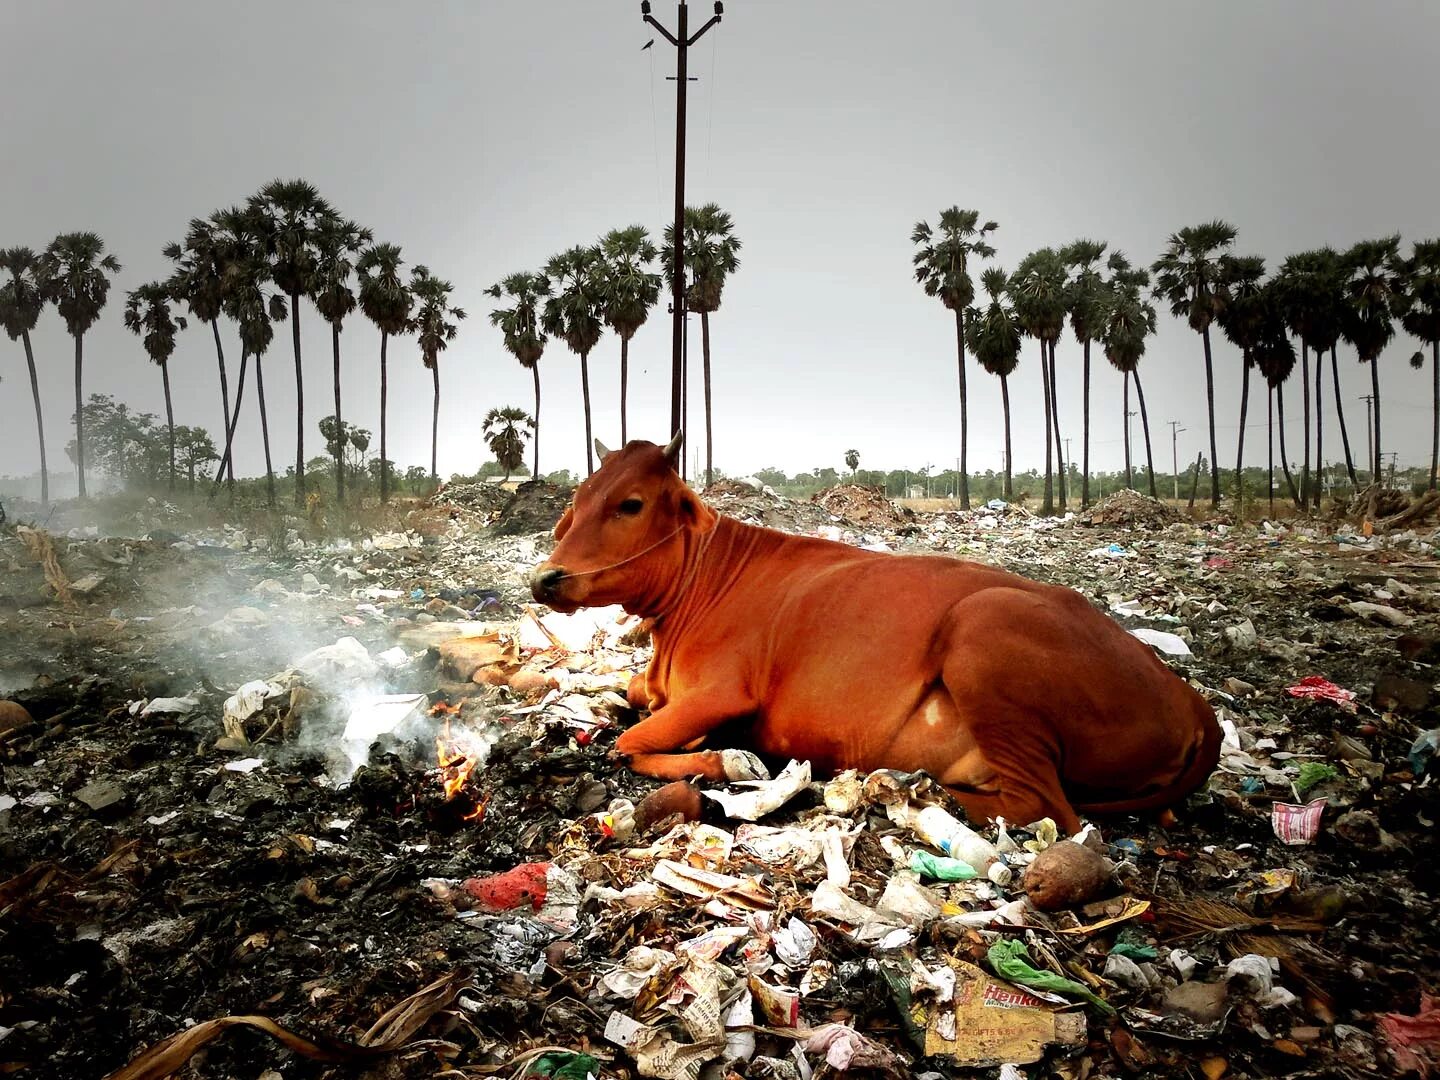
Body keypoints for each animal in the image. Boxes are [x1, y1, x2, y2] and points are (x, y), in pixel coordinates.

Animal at [529, 434, 1215, 835]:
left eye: (631, 503)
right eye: (578, 499)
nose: (545, 578)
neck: (696, 590)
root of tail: (1194, 701)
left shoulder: (723, 693)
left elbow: (631, 744)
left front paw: (725, 758)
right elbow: (631, 699)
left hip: (984, 638)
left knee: (1047, 807)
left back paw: (921, 794)